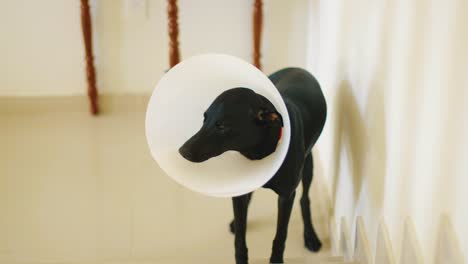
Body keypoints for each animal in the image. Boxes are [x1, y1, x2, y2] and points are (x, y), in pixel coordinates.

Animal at [180, 67, 330, 262]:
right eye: (204, 119)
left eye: (222, 126)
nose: (182, 151)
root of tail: (298, 68)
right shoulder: (240, 194)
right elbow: (240, 239)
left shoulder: (286, 196)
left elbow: (280, 236)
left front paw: (276, 259)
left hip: (308, 167)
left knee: (305, 199)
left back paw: (310, 235)